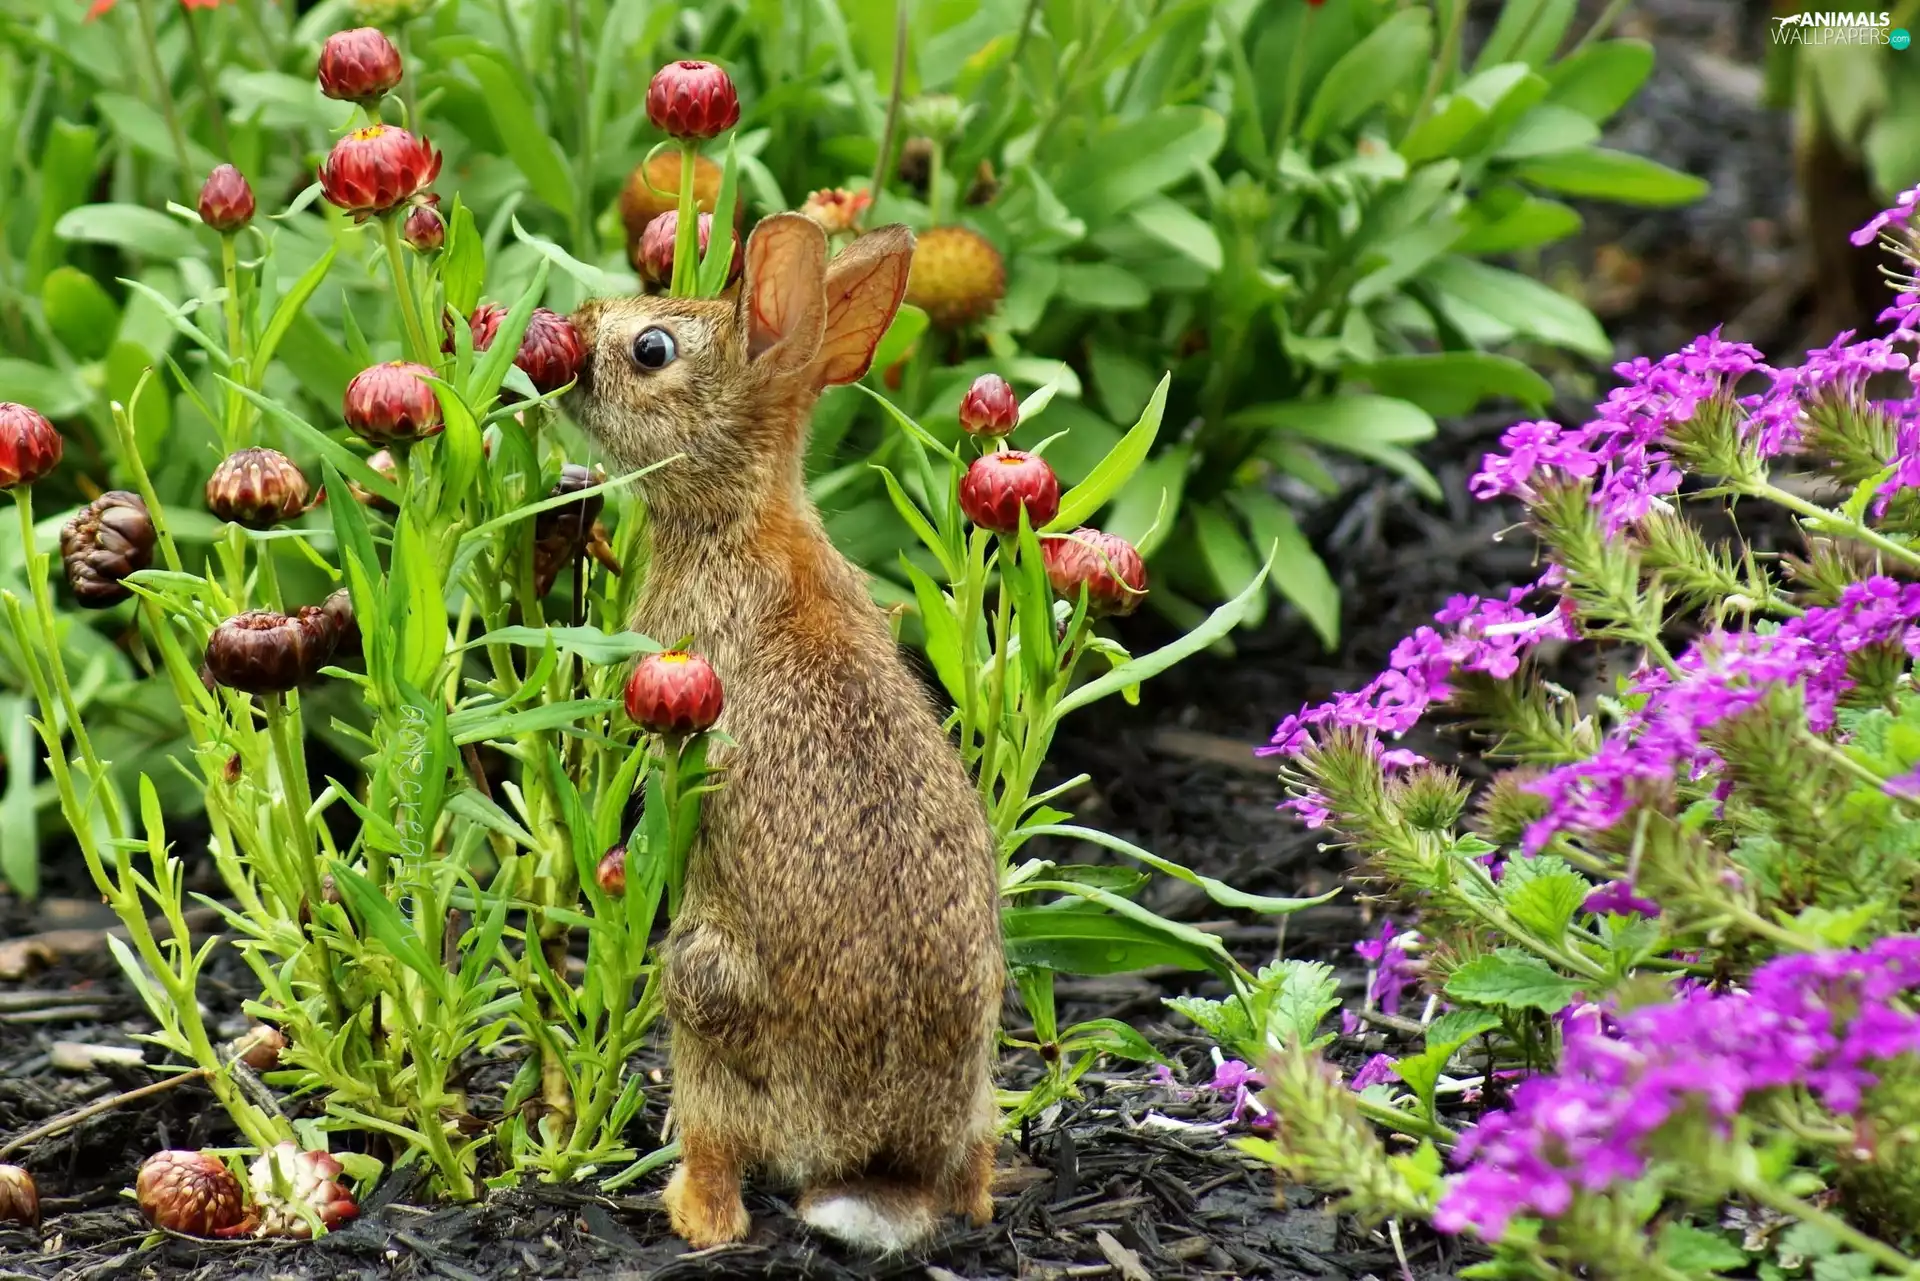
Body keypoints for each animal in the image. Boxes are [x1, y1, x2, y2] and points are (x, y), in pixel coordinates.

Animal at [568, 214, 1003, 1253]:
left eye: (651, 349)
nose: (574, 334)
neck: (739, 515)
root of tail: (878, 1157)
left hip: (700, 990)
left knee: (721, 1170)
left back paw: (681, 1204)